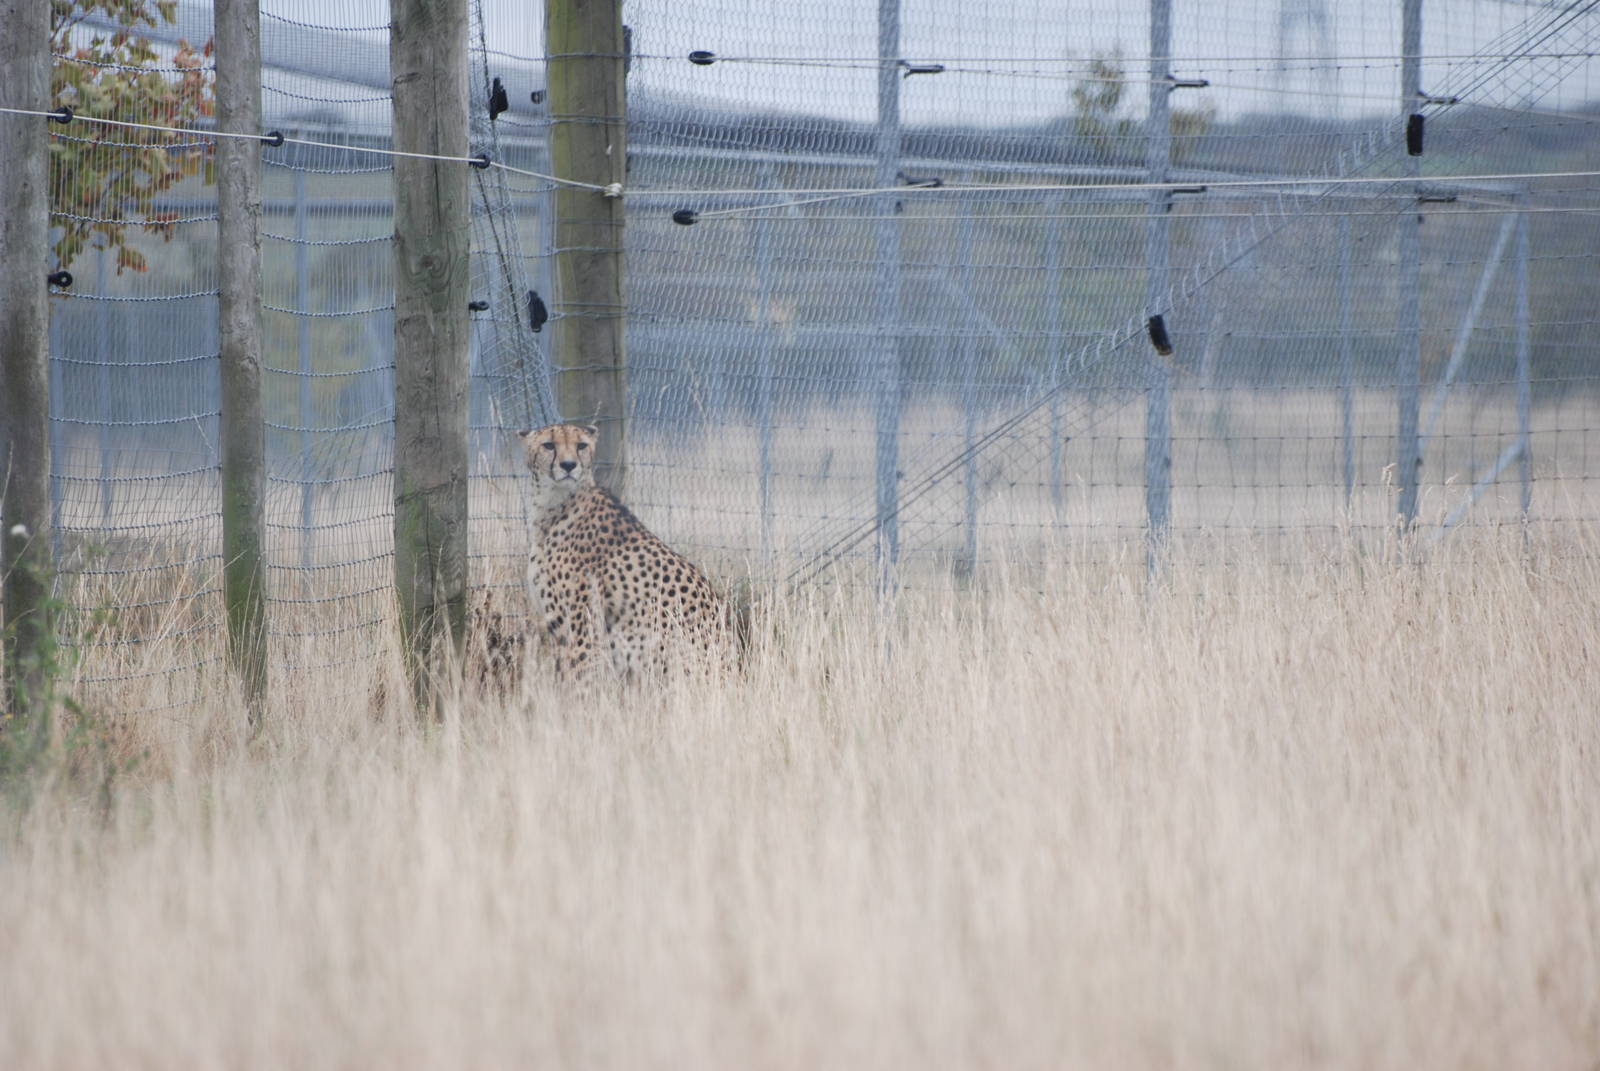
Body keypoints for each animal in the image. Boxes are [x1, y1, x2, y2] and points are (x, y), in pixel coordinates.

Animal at [518, 423, 733, 683]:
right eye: (549, 445)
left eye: (581, 445)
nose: (569, 465)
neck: (554, 503)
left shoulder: (584, 629)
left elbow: (581, 680)